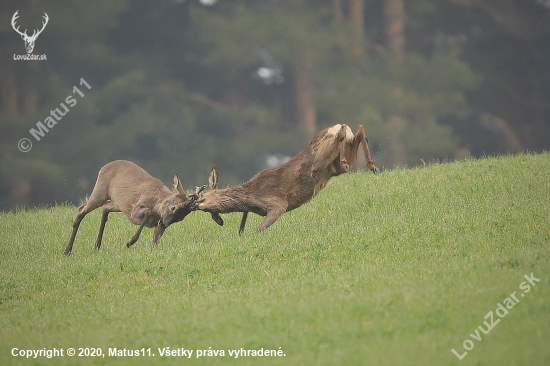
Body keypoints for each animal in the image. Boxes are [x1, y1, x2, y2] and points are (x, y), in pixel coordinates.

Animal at [63, 161, 205, 258]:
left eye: (180, 218)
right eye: (173, 207)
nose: (164, 224)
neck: (157, 201)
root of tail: (103, 167)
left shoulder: (156, 223)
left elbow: (156, 239)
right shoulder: (135, 211)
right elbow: (146, 213)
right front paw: (130, 242)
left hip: (118, 203)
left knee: (105, 208)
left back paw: (96, 246)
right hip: (100, 192)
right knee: (82, 209)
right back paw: (67, 250)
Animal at [195, 124, 380, 234]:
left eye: (202, 197)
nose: (195, 204)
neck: (249, 196)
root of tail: (332, 128)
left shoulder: (277, 204)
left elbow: (259, 229)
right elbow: (243, 225)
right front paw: (240, 233)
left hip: (320, 160)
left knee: (343, 132)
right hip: (336, 165)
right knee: (358, 132)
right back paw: (372, 166)